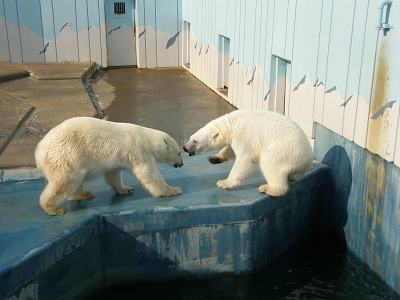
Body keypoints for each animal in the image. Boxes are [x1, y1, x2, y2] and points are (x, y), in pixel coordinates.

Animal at [36, 117, 183, 216]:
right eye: (179, 152)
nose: (181, 164)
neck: (145, 139)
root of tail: (38, 153)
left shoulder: (115, 157)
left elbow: (113, 175)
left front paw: (125, 189)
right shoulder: (138, 152)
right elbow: (149, 173)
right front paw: (173, 190)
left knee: (75, 181)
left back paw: (84, 194)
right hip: (66, 155)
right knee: (65, 181)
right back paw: (53, 208)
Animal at [183, 110, 314, 197]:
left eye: (195, 141)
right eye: (190, 137)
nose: (185, 148)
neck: (231, 124)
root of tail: (308, 159)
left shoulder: (244, 136)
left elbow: (244, 158)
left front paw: (224, 182)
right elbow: (231, 149)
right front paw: (215, 158)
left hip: (286, 150)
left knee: (270, 163)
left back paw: (269, 188)